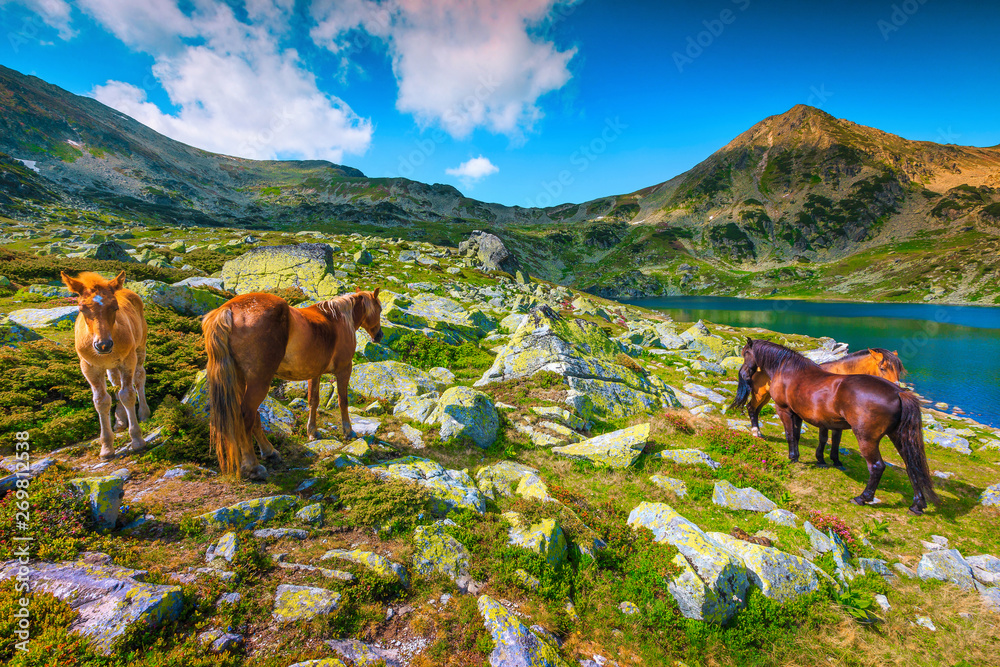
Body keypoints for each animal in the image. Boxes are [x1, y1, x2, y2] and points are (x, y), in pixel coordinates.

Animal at [60, 272, 149, 460]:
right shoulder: (89, 367)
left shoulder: (128, 360)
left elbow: (128, 394)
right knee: (115, 382)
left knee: (139, 376)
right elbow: (101, 401)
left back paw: (144, 413)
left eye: (115, 307)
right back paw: (120, 420)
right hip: (111, 366)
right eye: (81, 308)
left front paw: (137, 440)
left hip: (140, 347)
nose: (103, 345)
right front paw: (107, 448)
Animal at [201, 288, 380, 480]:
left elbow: (313, 401)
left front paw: (312, 432)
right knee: (246, 417)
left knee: (252, 416)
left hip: (240, 380)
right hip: (258, 381)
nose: (379, 335)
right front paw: (348, 431)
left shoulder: (314, 373)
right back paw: (253, 467)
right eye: (380, 309)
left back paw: (269, 452)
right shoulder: (344, 369)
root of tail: (229, 309)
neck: (338, 318)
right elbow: (343, 401)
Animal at [752, 348, 908, 468]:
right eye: (882, 368)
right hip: (760, 394)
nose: (897, 389)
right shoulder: (824, 417)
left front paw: (834, 460)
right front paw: (821, 459)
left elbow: (836, 439)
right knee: (752, 408)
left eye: (899, 370)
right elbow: (824, 438)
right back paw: (756, 432)